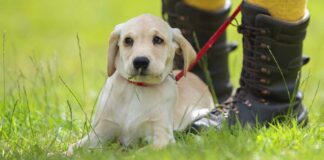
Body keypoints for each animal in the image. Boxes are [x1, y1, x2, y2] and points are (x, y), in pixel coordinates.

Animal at [65, 13, 213, 156]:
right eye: (128, 40)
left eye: (158, 40)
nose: (140, 61)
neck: (137, 87)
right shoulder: (99, 132)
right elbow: (73, 147)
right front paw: (62, 154)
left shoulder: (163, 137)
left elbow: (140, 153)